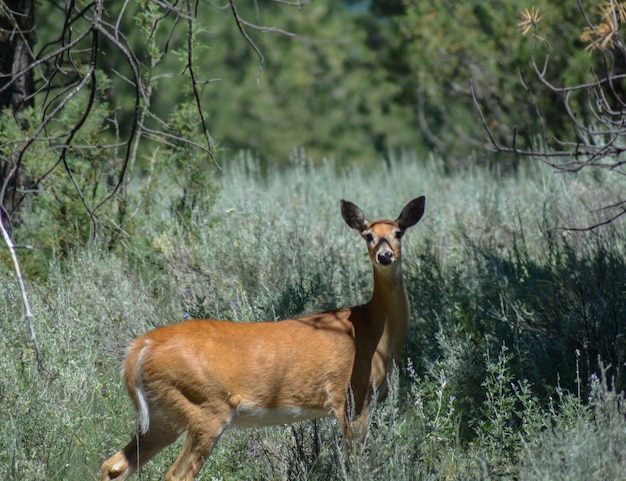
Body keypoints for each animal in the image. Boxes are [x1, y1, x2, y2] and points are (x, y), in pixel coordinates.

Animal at [101, 195, 424, 480]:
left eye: (398, 232)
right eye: (368, 235)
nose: (385, 255)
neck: (375, 330)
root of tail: (139, 349)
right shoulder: (350, 397)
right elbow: (357, 464)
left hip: (161, 416)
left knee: (114, 464)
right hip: (205, 408)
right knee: (175, 474)